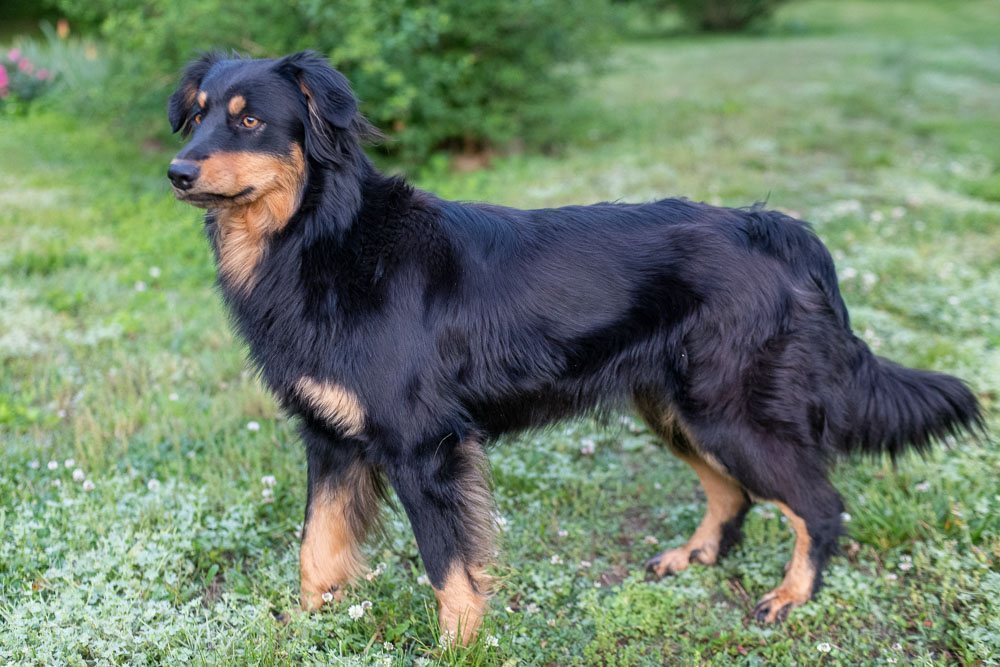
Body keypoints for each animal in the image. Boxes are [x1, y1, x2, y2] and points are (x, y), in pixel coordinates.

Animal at [168, 49, 980, 644]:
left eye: (250, 122)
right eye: (198, 117)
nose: (176, 172)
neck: (323, 239)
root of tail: (776, 227)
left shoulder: (423, 446)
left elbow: (448, 566)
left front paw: (458, 646)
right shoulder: (331, 439)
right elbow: (317, 550)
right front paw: (304, 631)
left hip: (730, 412)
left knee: (819, 502)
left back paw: (790, 595)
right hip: (674, 408)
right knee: (735, 492)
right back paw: (695, 555)